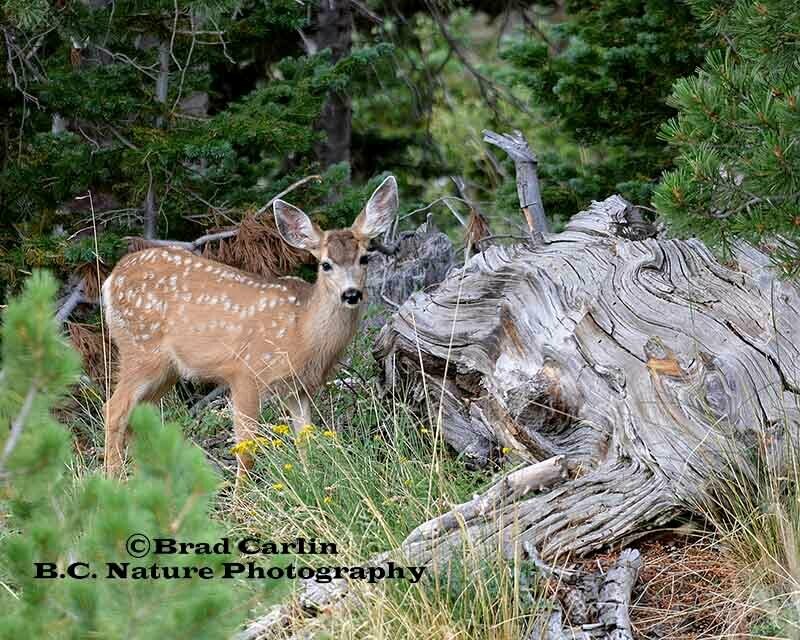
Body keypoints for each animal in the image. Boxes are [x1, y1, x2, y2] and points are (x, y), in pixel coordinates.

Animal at [101, 176, 399, 481]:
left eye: (364, 258)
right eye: (325, 264)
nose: (351, 294)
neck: (302, 332)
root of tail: (111, 279)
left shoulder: (298, 388)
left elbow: (306, 442)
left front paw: (310, 481)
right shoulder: (246, 372)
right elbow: (246, 448)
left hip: (166, 370)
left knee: (137, 417)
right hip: (140, 349)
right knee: (114, 409)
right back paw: (113, 481)